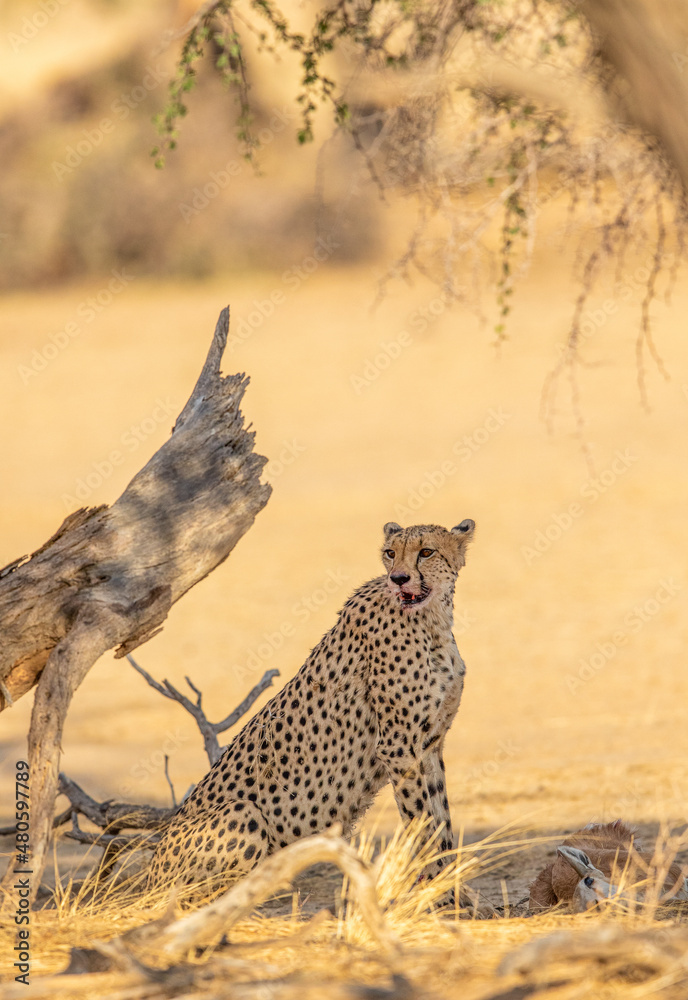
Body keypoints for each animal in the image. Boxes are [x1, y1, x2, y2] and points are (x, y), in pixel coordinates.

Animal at [147, 519, 476, 897]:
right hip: (242, 813)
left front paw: (457, 893)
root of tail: (149, 872)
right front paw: (438, 893)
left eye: (426, 552)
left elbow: (441, 818)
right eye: (390, 553)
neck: (433, 622)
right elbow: (421, 820)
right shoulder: (398, 747)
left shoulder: (429, 745)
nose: (398, 578)